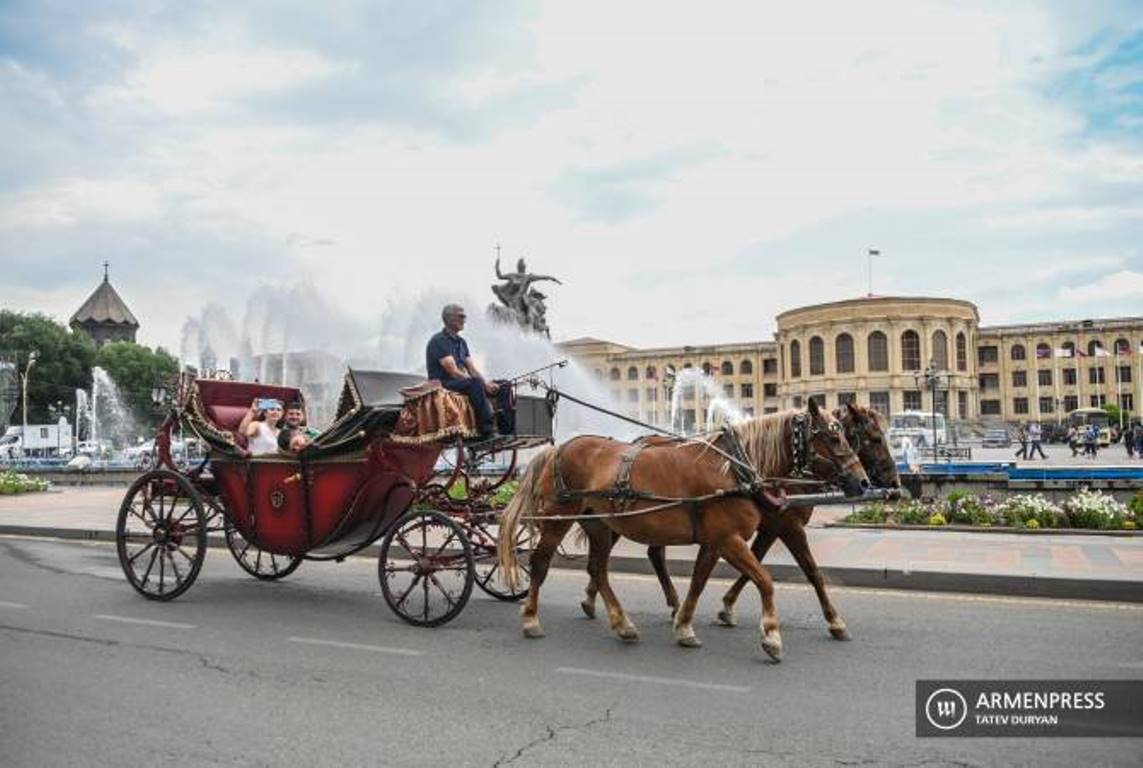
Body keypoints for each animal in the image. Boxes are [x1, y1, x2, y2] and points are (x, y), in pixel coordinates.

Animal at [500, 402, 864, 658]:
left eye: (848, 435)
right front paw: (772, 635)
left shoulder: (717, 540)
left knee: (598, 569)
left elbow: (700, 580)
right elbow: (766, 579)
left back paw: (622, 623)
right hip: (558, 516)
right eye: (834, 437)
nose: (863, 482)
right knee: (541, 563)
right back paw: (531, 618)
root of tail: (557, 448)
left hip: (599, 525)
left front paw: (685, 625)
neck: (734, 469)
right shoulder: (732, 538)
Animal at [585, 400, 896, 640]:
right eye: (875, 439)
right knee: (617, 557)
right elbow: (811, 571)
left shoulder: (767, 527)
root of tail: (638, 440)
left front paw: (726, 608)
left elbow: (753, 564)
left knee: (647, 554)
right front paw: (834, 621)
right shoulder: (786, 526)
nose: (891, 481)